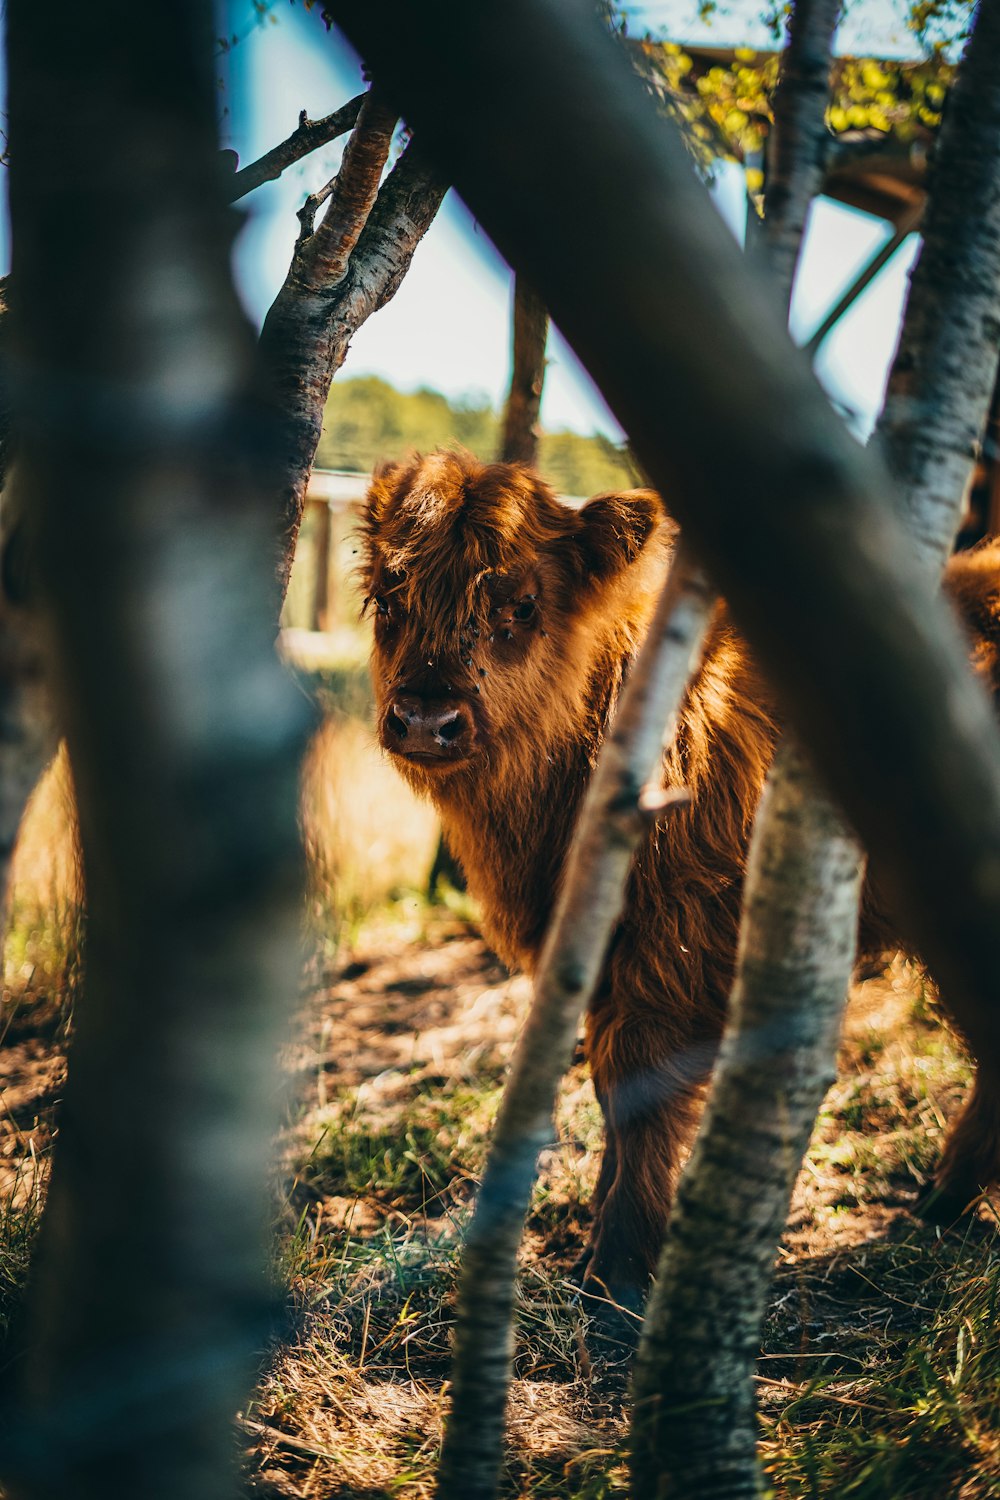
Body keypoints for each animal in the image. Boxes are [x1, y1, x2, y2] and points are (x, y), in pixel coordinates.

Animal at [364, 444, 1000, 1326]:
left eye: (521, 603)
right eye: (387, 597)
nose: (426, 718)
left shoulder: (675, 945)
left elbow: (642, 1081)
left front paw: (620, 1272)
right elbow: (611, 1087)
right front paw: (600, 1250)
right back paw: (940, 1202)